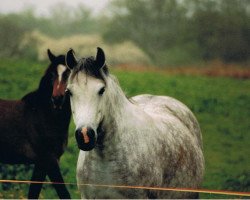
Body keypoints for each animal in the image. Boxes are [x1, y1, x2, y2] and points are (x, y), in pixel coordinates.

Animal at [0, 50, 72, 198]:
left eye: (68, 73)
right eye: (52, 74)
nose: (57, 99)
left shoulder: (41, 164)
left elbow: (33, 193)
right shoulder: (49, 160)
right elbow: (64, 193)